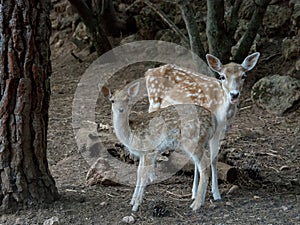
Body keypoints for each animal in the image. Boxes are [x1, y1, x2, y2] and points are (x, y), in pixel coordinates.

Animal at [102, 81, 217, 212]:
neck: (131, 134)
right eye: (112, 100)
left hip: (193, 141)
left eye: (127, 100)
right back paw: (200, 202)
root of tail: (214, 120)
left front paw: (136, 205)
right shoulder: (143, 154)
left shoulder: (150, 150)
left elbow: (144, 175)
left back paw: (196, 205)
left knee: (205, 165)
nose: (121, 109)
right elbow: (138, 173)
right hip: (203, 142)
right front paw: (132, 201)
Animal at [145, 53, 260, 202]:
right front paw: (196, 193)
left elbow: (213, 158)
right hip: (154, 103)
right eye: (222, 76)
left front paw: (215, 194)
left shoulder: (219, 131)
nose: (234, 94)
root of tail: (148, 72)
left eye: (244, 75)